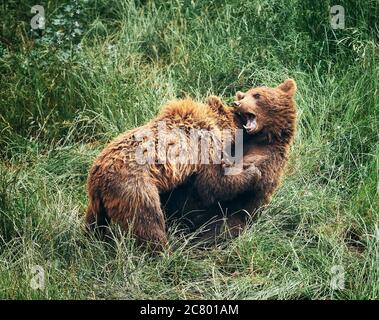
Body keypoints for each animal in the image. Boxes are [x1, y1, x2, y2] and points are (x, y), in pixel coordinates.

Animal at [85, 96, 262, 251]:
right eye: (240, 116)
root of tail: (98, 176)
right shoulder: (206, 147)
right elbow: (213, 185)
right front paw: (253, 172)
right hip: (135, 189)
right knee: (148, 222)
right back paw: (165, 252)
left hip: (97, 199)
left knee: (94, 220)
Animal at [163, 79, 296, 242]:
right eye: (243, 96)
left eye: (257, 95)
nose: (237, 103)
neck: (263, 138)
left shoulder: (266, 157)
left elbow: (219, 184)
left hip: (225, 218)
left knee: (218, 231)